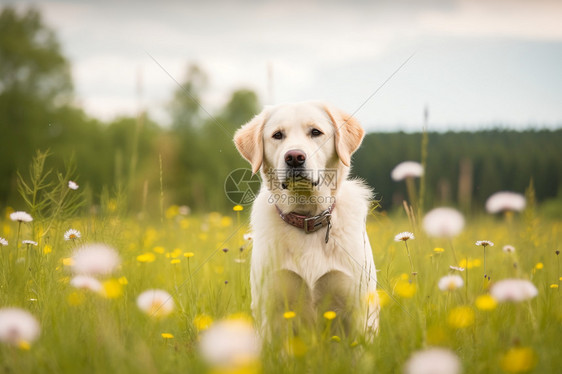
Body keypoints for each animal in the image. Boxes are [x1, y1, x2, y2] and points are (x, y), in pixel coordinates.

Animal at [232, 100, 376, 338]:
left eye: (315, 132)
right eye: (277, 135)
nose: (294, 157)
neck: (306, 217)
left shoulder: (357, 309)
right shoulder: (271, 309)